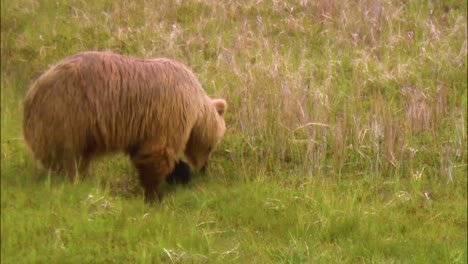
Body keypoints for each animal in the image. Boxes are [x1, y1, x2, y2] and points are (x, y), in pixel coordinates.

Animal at [22, 50, 228, 201]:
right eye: (211, 147)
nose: (204, 169)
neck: (196, 105)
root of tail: (31, 94)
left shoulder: (142, 127)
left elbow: (146, 153)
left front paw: (180, 174)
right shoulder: (169, 113)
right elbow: (158, 154)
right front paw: (153, 195)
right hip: (67, 116)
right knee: (69, 157)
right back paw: (74, 181)